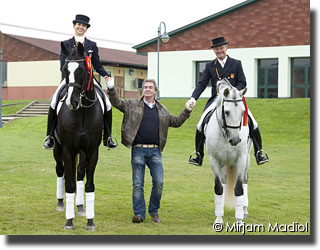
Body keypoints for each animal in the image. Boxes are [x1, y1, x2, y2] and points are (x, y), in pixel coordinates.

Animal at [52, 42, 102, 231]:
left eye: (81, 70)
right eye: (65, 69)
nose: (71, 102)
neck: (82, 112)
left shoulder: (92, 151)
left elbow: (88, 184)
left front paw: (90, 221)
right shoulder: (67, 150)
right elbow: (70, 184)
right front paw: (69, 221)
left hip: (81, 152)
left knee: (79, 173)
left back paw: (80, 206)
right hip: (58, 149)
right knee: (60, 171)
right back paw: (61, 203)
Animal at [205, 78, 252, 225]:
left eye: (242, 112)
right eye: (226, 112)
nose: (236, 140)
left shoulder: (241, 160)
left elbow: (239, 189)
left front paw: (239, 221)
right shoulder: (214, 161)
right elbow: (219, 188)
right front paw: (219, 219)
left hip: (247, 160)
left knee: (245, 180)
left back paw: (244, 210)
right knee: (224, 182)